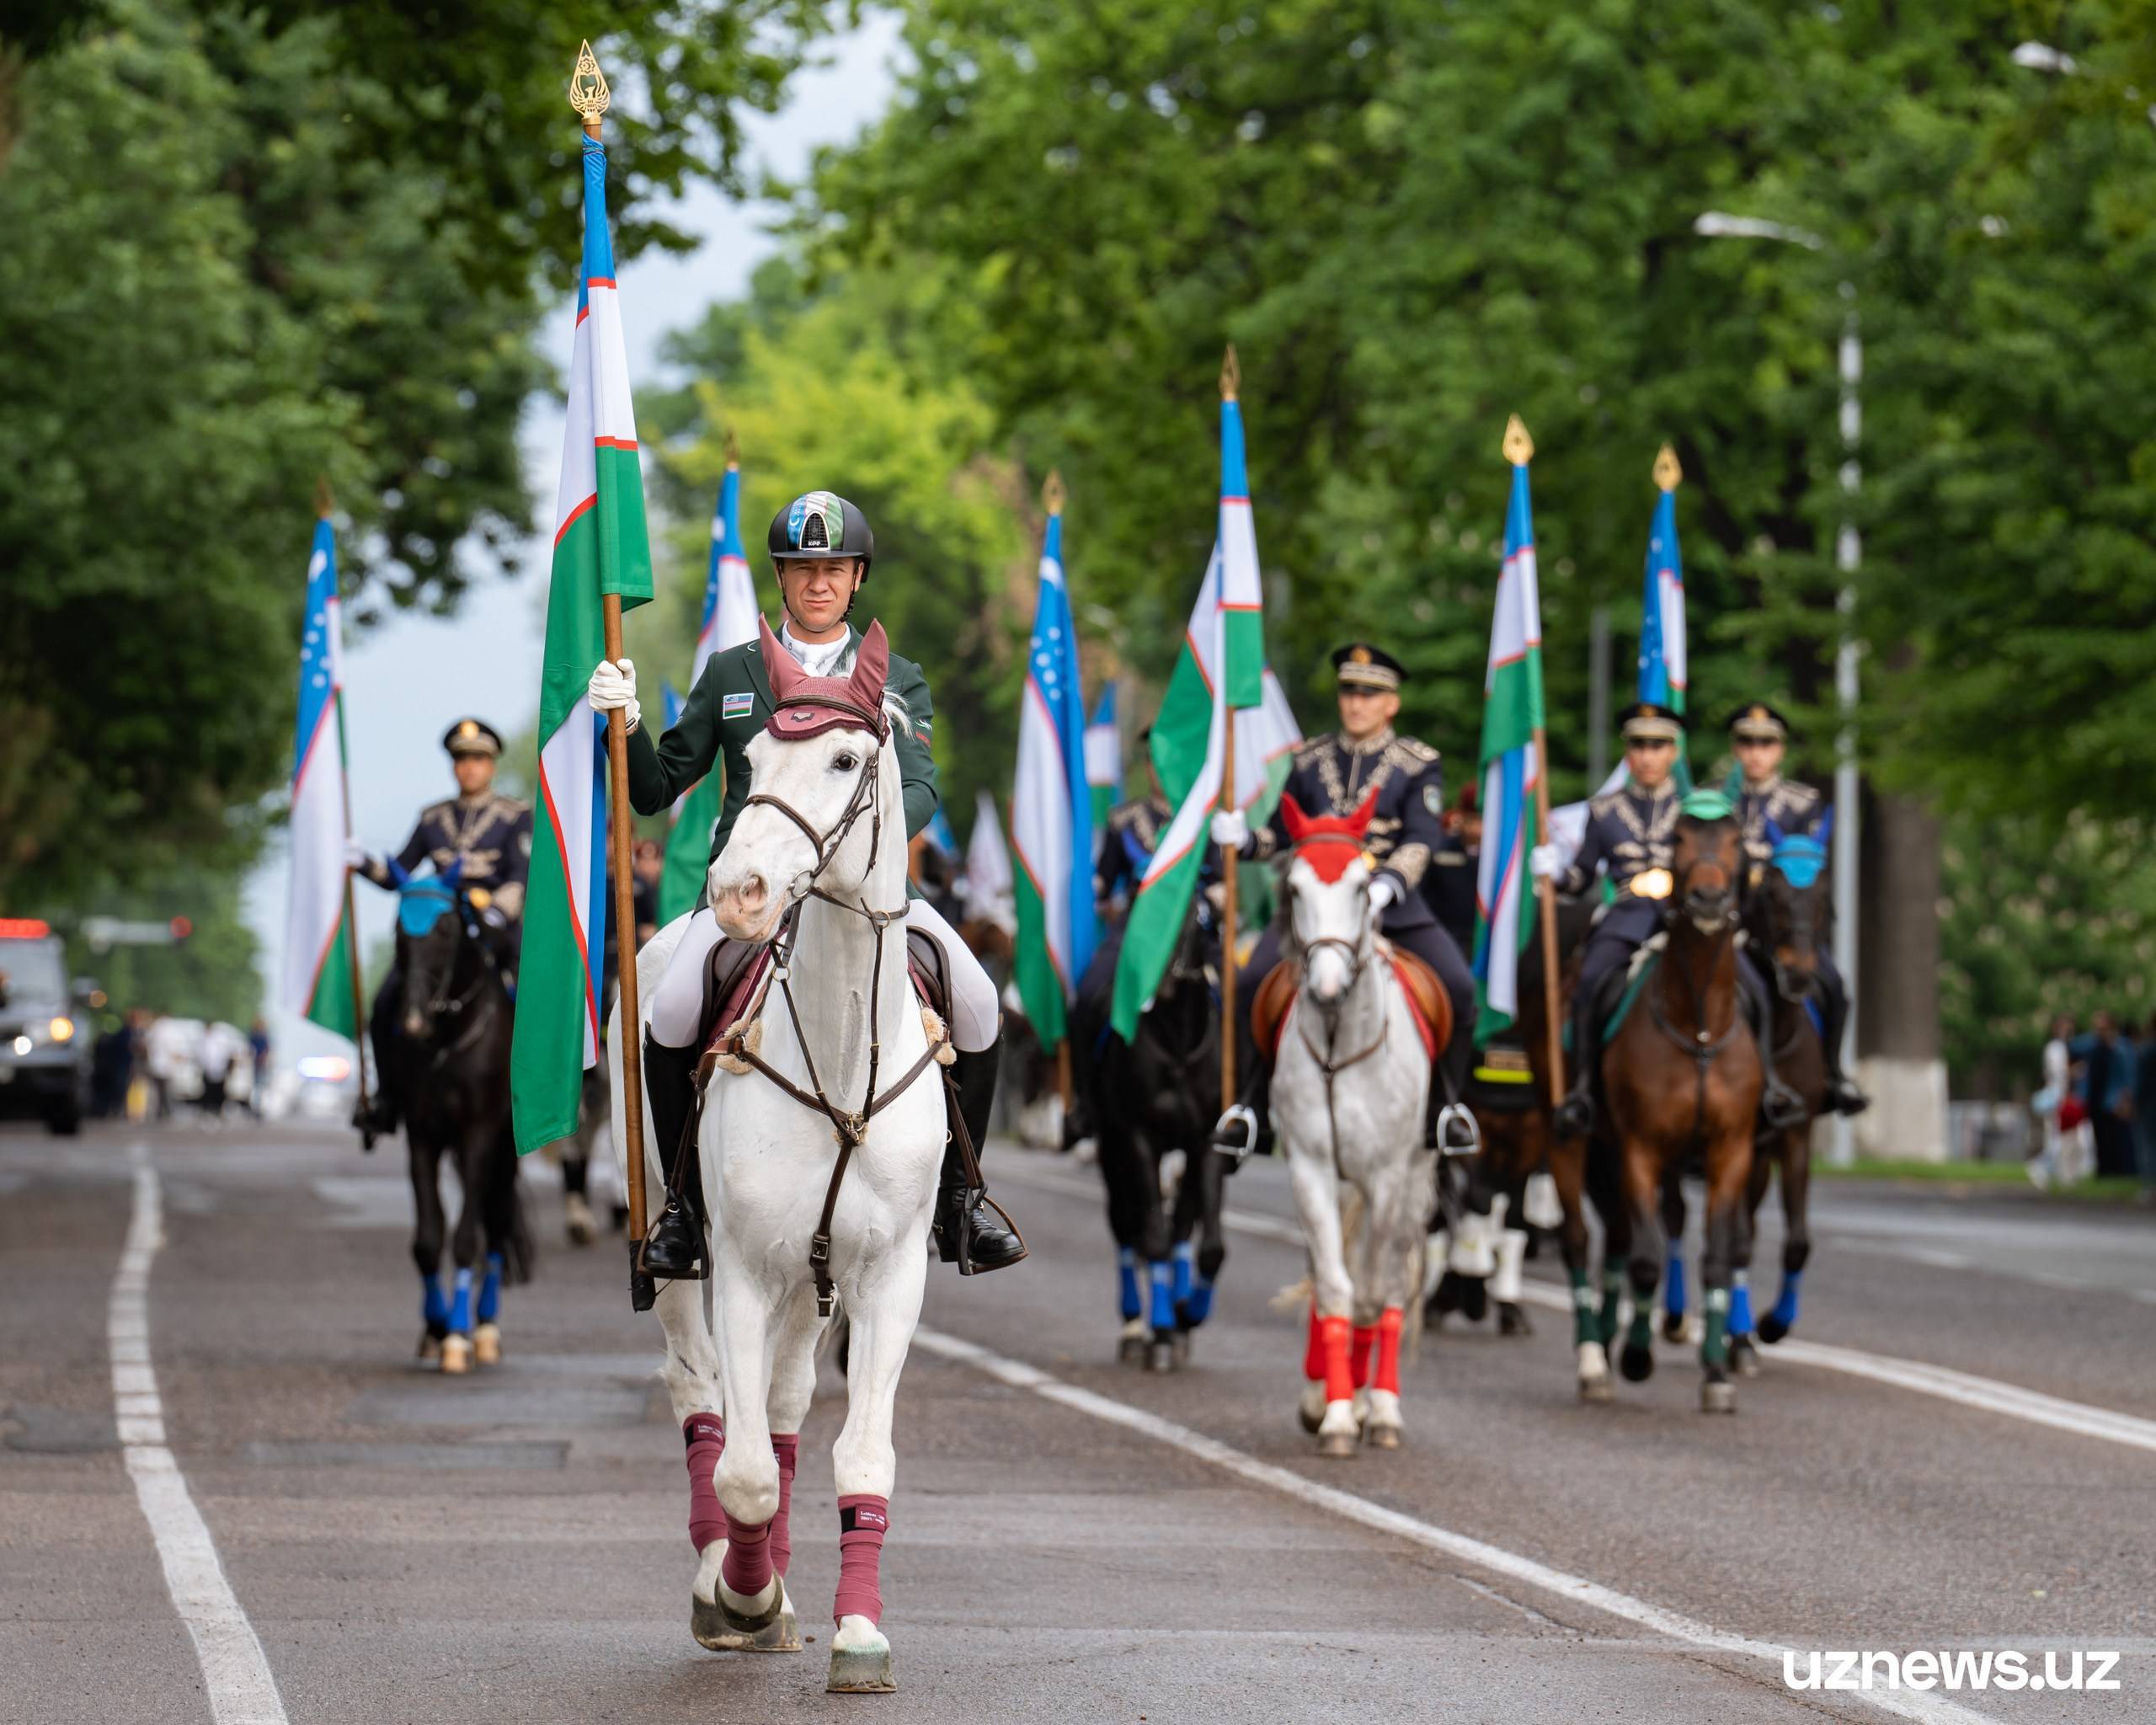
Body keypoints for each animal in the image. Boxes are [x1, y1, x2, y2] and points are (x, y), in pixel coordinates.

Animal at [383, 862, 530, 1371]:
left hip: (504, 1148)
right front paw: (436, 1327)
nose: (412, 1022)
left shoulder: (479, 1130)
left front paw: (458, 1337)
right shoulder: (421, 1132)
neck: (449, 1035)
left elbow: (468, 1237)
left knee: (497, 1221)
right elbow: (428, 1239)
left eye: (446, 929)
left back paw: (484, 1328)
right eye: (398, 931)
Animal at [607, 617, 944, 1681]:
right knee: (703, 1396)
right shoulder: (745, 1268)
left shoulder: (886, 1276)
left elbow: (857, 1453)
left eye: (843, 758)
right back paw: (730, 1574)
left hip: (813, 1274)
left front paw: (858, 1632)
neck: (837, 1055)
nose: (739, 891)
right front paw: (740, 1595)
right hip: (685, 1254)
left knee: (790, 1405)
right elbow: (745, 1469)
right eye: (749, 757)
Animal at [1073, 896, 1233, 1371]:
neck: (1177, 1040)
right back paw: (1134, 1326)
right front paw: (1160, 1329)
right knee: (1127, 1226)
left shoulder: (1206, 1142)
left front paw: (1188, 1316)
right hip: (1111, 1147)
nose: (1154, 983)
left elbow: (1208, 1246)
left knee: (1180, 1225)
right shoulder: (1137, 1138)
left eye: (1191, 919)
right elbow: (1153, 1237)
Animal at [1267, 793, 1440, 1457]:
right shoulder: (1311, 1170)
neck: (1342, 1045)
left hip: (1411, 1181)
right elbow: (1334, 1286)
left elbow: (1371, 1294)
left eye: (1364, 886)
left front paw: (1368, 1410)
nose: (1327, 987)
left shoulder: (1390, 1178)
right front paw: (1333, 1412)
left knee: (1385, 1286)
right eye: (1293, 887)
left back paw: (1380, 1404)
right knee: (1331, 1275)